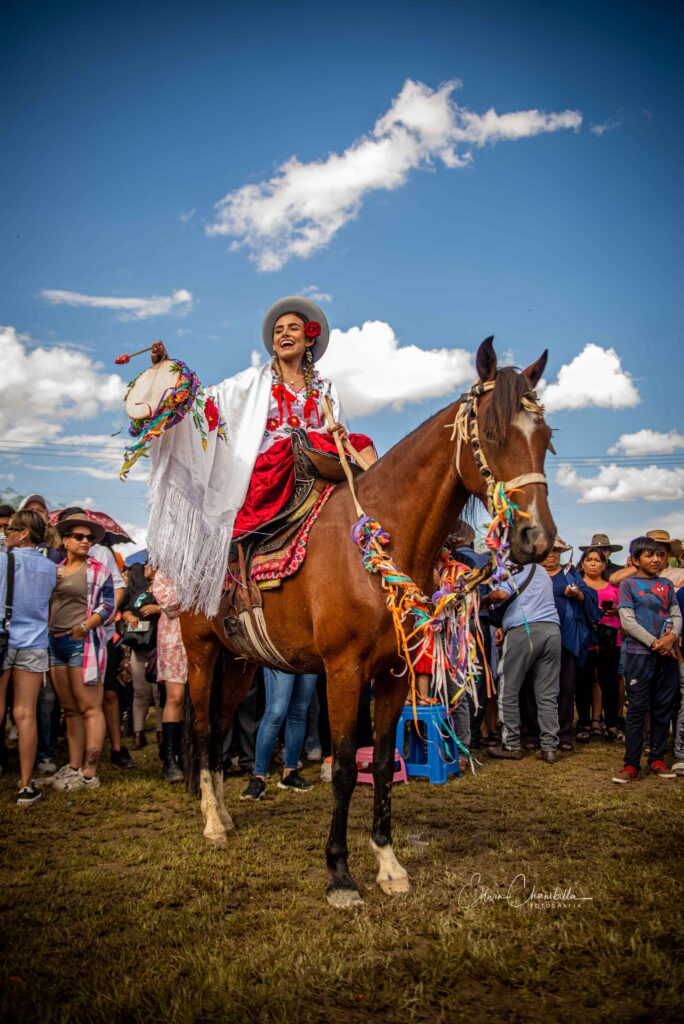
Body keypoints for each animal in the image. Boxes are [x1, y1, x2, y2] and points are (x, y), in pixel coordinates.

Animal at [178, 339, 557, 909]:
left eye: (547, 439)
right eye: (492, 436)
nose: (538, 539)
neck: (382, 541)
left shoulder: (394, 674)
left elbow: (378, 763)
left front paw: (388, 863)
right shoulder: (342, 672)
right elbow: (340, 768)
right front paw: (339, 873)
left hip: (243, 661)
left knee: (221, 727)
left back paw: (223, 812)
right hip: (201, 652)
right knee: (202, 729)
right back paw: (212, 824)